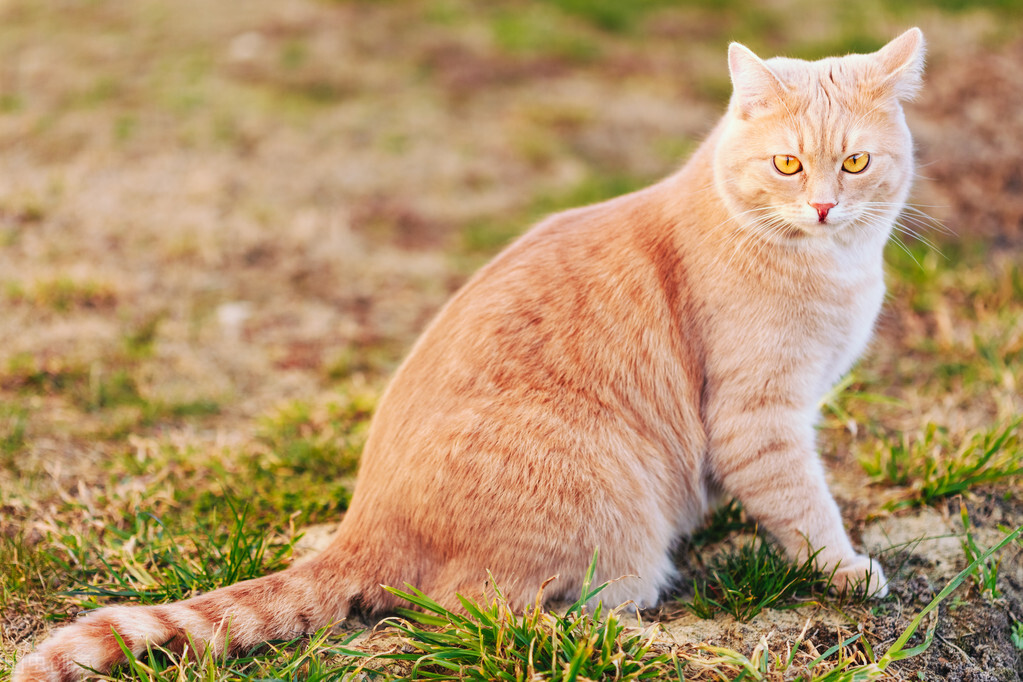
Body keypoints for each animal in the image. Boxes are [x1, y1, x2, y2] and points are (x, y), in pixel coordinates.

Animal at [14, 29, 928, 678]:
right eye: (786, 164)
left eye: (853, 162)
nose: (822, 206)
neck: (833, 265)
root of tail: (362, 524)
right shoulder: (757, 419)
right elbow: (805, 509)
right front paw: (846, 571)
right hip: (600, 495)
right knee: (476, 613)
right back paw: (623, 630)